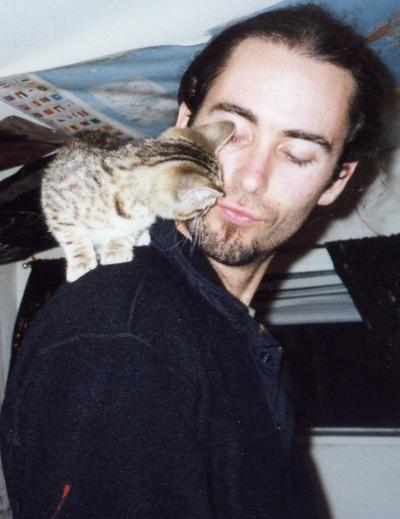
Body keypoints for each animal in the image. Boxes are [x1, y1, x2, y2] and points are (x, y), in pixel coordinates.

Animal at [41, 121, 234, 282]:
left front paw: (115, 252)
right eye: (204, 207)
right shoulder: (54, 201)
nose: (207, 211)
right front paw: (81, 263)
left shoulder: (137, 222)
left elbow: (124, 234)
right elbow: (72, 236)